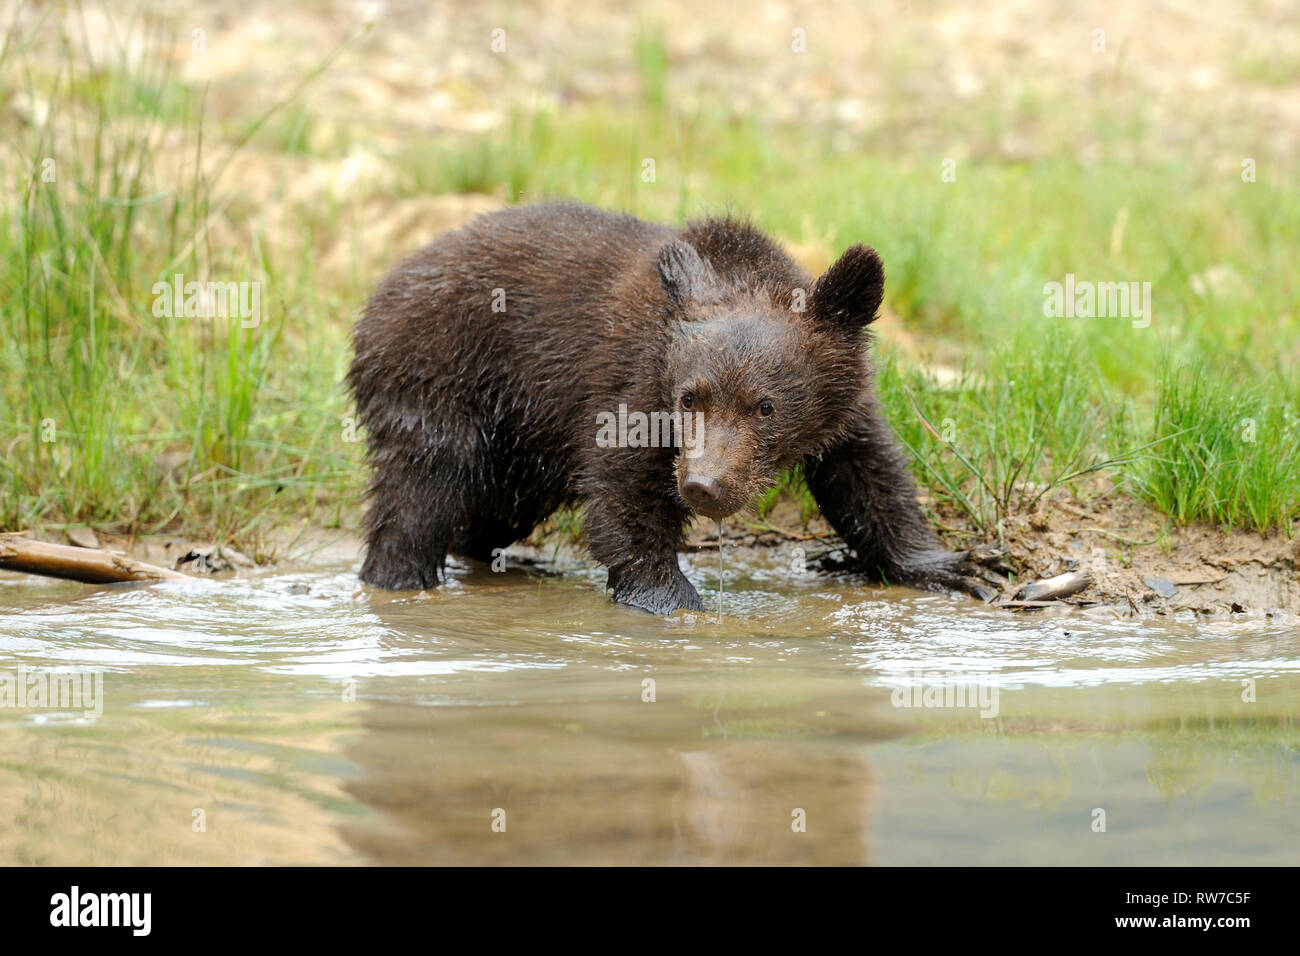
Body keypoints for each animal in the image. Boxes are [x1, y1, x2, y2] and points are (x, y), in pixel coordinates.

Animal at [347, 201, 997, 614]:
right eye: (692, 397)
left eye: (765, 406)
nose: (705, 486)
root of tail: (381, 287)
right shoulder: (634, 387)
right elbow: (623, 490)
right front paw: (672, 598)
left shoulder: (842, 411)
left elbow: (870, 480)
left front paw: (958, 566)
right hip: (441, 371)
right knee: (424, 485)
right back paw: (399, 577)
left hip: (519, 435)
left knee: (495, 506)